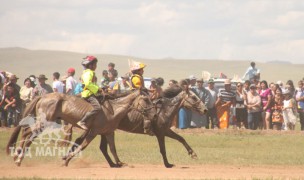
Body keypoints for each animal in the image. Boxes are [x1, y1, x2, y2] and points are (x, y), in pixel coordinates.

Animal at [6, 89, 157, 167]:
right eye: (146, 99)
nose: (154, 113)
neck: (113, 110)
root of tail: (43, 96)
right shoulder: (93, 132)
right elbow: (82, 146)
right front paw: (66, 160)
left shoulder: (108, 133)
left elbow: (113, 149)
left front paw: (120, 163)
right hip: (45, 122)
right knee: (28, 133)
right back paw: (18, 158)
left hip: (46, 123)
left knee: (27, 133)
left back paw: (17, 157)